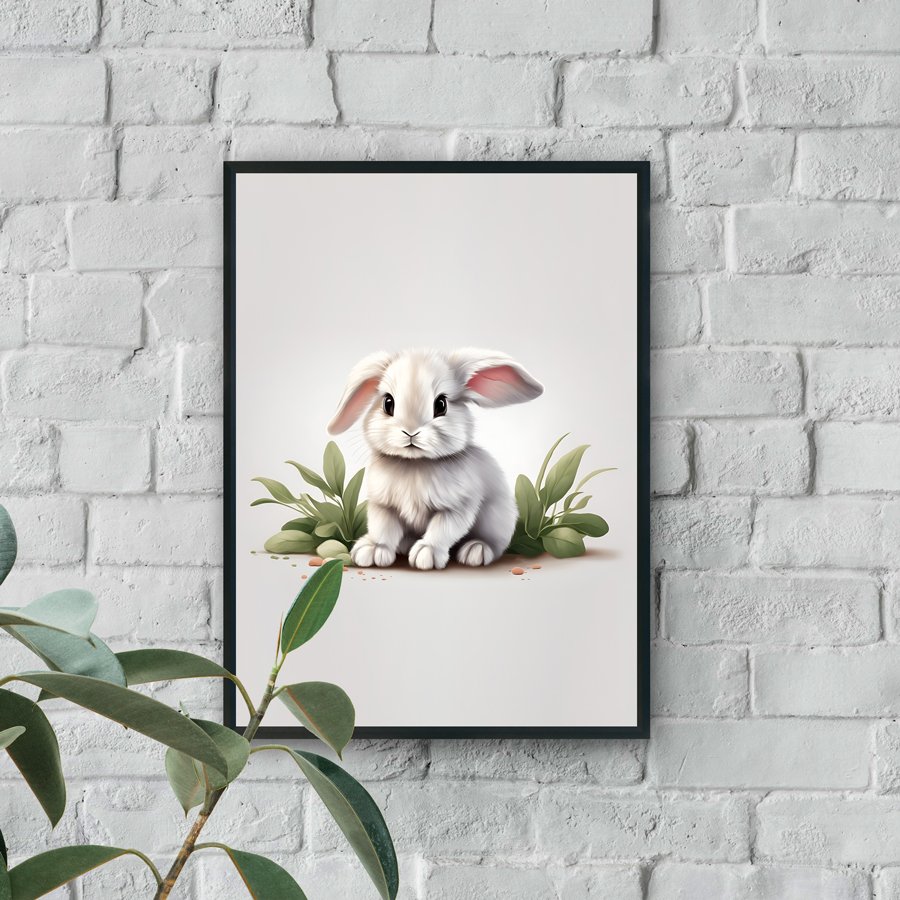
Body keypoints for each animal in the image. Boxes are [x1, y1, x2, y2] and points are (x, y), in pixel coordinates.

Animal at [327, 348, 543, 570]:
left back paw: (476, 549)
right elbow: (383, 528)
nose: (410, 431)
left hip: (497, 519)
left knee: (494, 542)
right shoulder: (383, 506)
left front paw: (426, 554)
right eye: (388, 403)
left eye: (441, 404)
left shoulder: (457, 508)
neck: (415, 464)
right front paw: (372, 550)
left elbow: (442, 530)